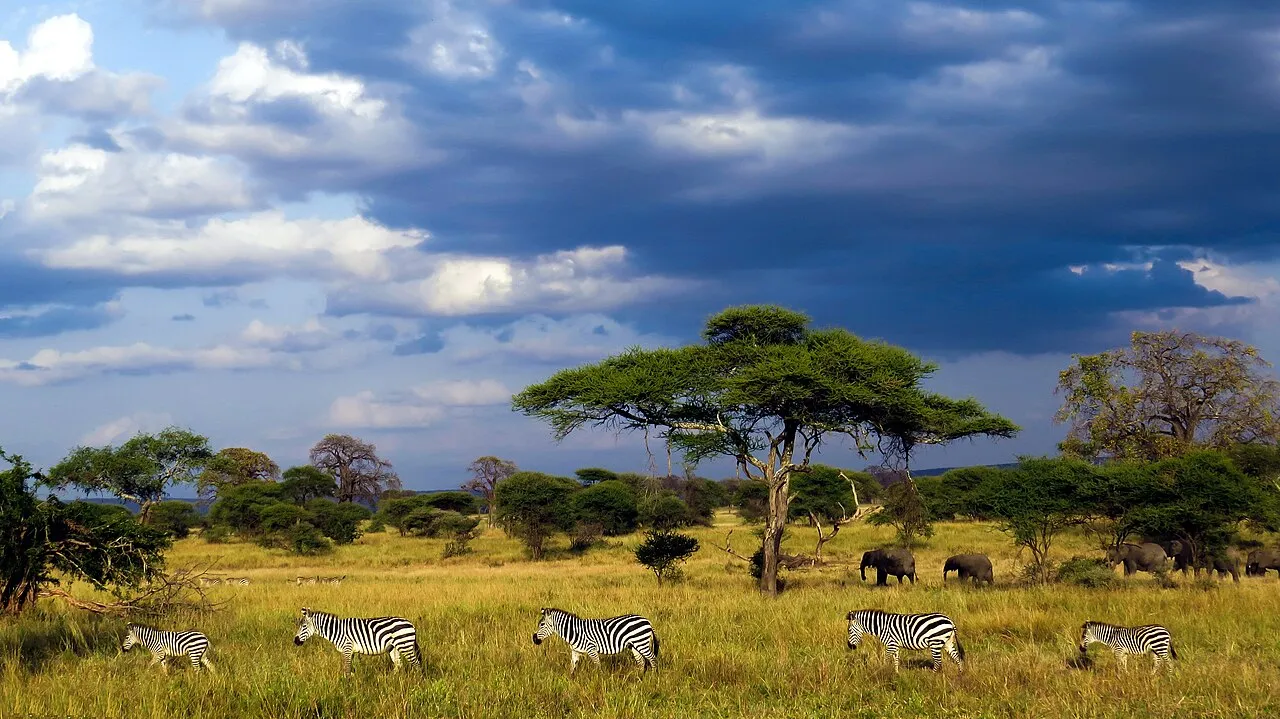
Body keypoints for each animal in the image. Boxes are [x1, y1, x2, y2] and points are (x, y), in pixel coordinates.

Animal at [293, 606, 422, 674]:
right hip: (394, 647)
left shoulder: (347, 648)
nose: (295, 641)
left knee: (416, 664)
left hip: (405, 645)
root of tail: (411, 624)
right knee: (398, 665)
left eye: (303, 626)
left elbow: (347, 669)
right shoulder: (351, 651)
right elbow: (350, 669)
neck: (336, 630)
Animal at [531, 607, 659, 675]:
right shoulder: (576, 651)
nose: (534, 639)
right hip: (634, 645)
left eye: (542, 624)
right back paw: (639, 679)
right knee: (641, 662)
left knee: (652, 658)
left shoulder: (591, 649)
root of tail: (647, 621)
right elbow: (572, 667)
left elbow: (598, 666)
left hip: (641, 643)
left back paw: (653, 677)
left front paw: (599, 680)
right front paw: (569, 681)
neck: (574, 632)